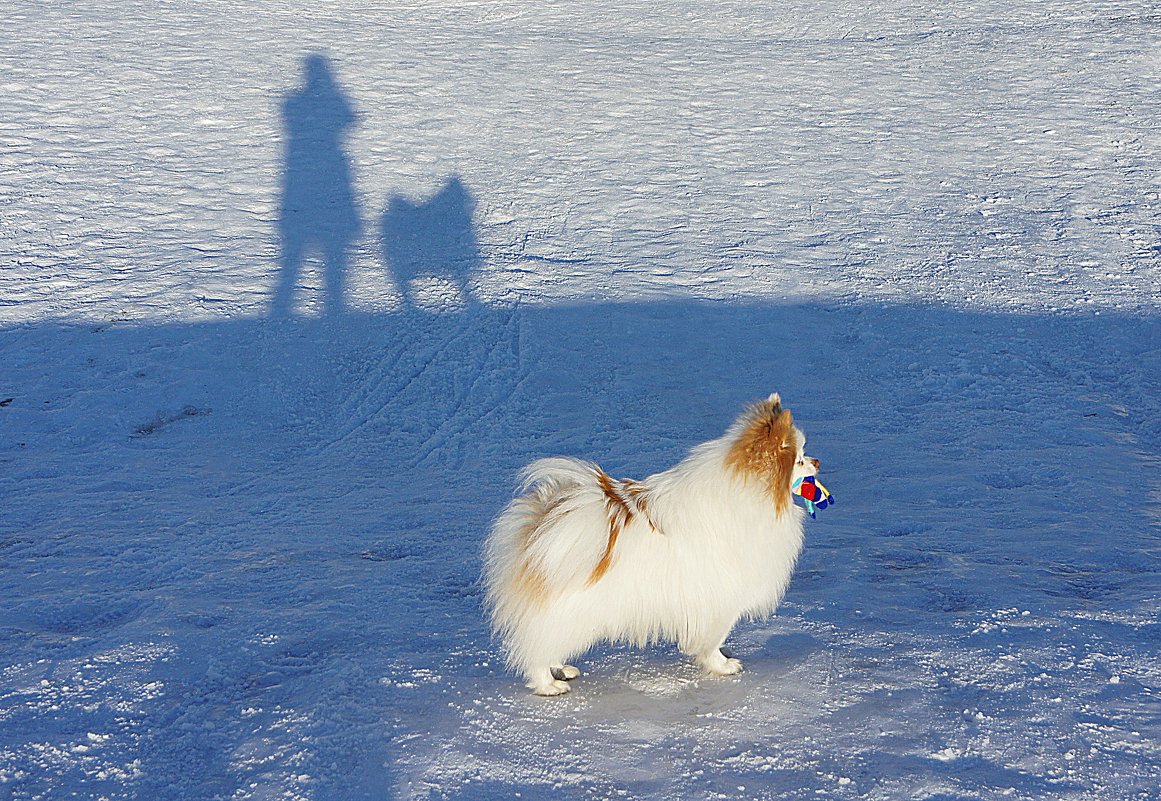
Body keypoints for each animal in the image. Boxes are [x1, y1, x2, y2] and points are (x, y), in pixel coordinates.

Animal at [480, 392, 817, 691]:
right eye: (799, 460)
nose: (818, 461)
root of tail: (545, 520)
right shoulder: (721, 599)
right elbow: (713, 641)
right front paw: (722, 665)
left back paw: (562, 668)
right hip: (566, 613)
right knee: (537, 650)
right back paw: (548, 684)